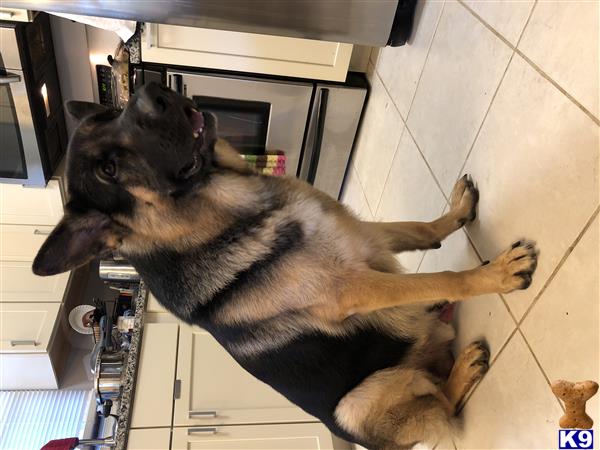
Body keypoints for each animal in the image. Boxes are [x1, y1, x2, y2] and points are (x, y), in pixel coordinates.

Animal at [32, 82, 540, 448]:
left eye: (108, 114)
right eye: (108, 170)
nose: (151, 90)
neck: (226, 210)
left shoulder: (365, 235)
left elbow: (420, 230)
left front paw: (457, 213)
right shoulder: (354, 287)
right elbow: (444, 277)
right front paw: (495, 274)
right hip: (356, 401)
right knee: (445, 406)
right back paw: (463, 370)